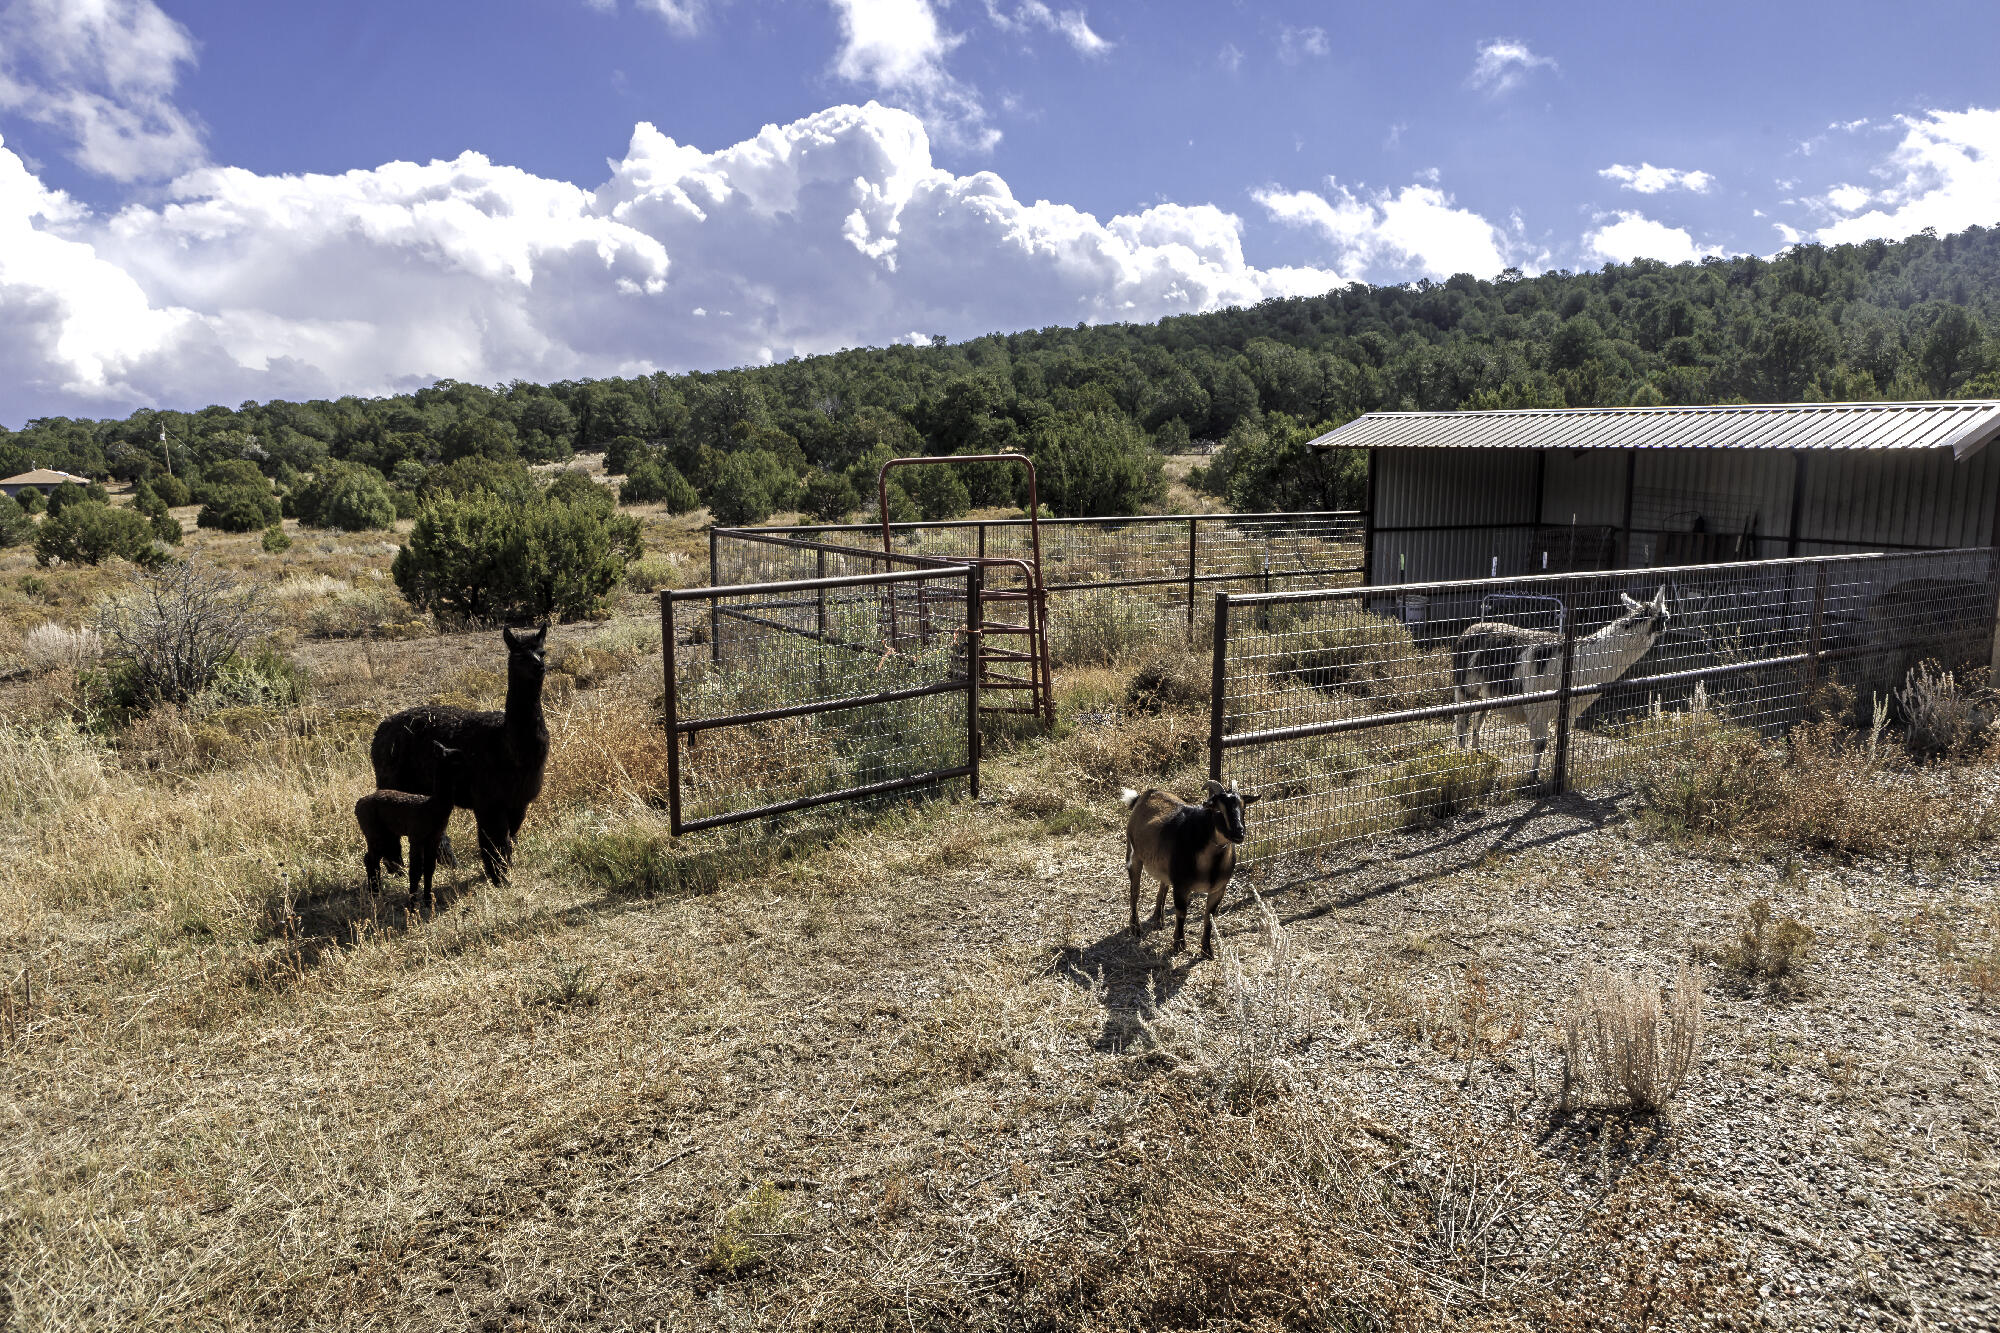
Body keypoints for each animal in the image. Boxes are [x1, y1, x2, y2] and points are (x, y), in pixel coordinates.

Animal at [1120, 780, 1256, 956]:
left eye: (1243, 808)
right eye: (1218, 810)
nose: (1239, 832)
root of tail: (1146, 794)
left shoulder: (1219, 888)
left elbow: (1209, 917)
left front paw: (1207, 950)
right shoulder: (1181, 885)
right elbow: (1181, 913)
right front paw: (1179, 944)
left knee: (1163, 886)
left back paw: (1158, 919)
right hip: (1133, 854)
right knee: (1134, 892)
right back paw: (1135, 927)